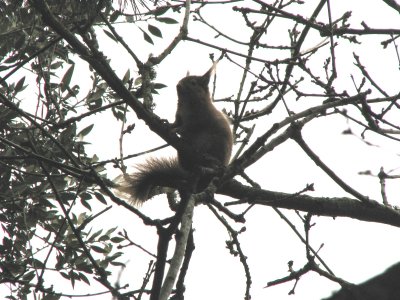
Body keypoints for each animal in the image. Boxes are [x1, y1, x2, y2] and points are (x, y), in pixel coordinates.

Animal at [114, 63, 233, 204]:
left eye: (193, 83)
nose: (178, 85)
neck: (187, 103)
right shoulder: (179, 117)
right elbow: (176, 123)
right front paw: (167, 123)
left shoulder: (199, 119)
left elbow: (187, 128)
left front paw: (175, 130)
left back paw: (211, 159)